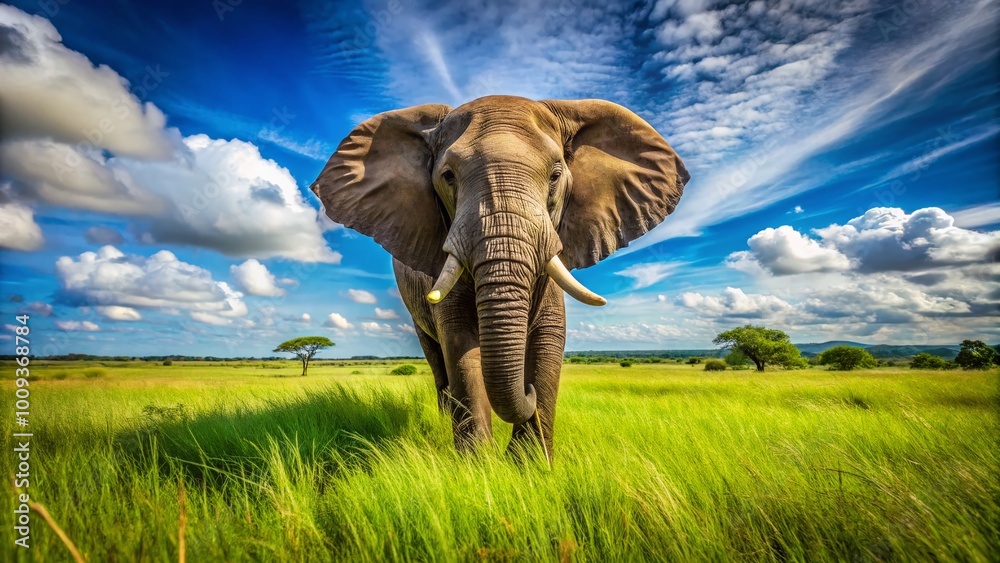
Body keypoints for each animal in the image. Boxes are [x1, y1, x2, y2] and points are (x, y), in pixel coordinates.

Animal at [311, 95, 689, 459]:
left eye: (555, 175)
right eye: (448, 176)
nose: (527, 390)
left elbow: (549, 337)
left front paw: (531, 464)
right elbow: (459, 343)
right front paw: (479, 467)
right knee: (436, 359)